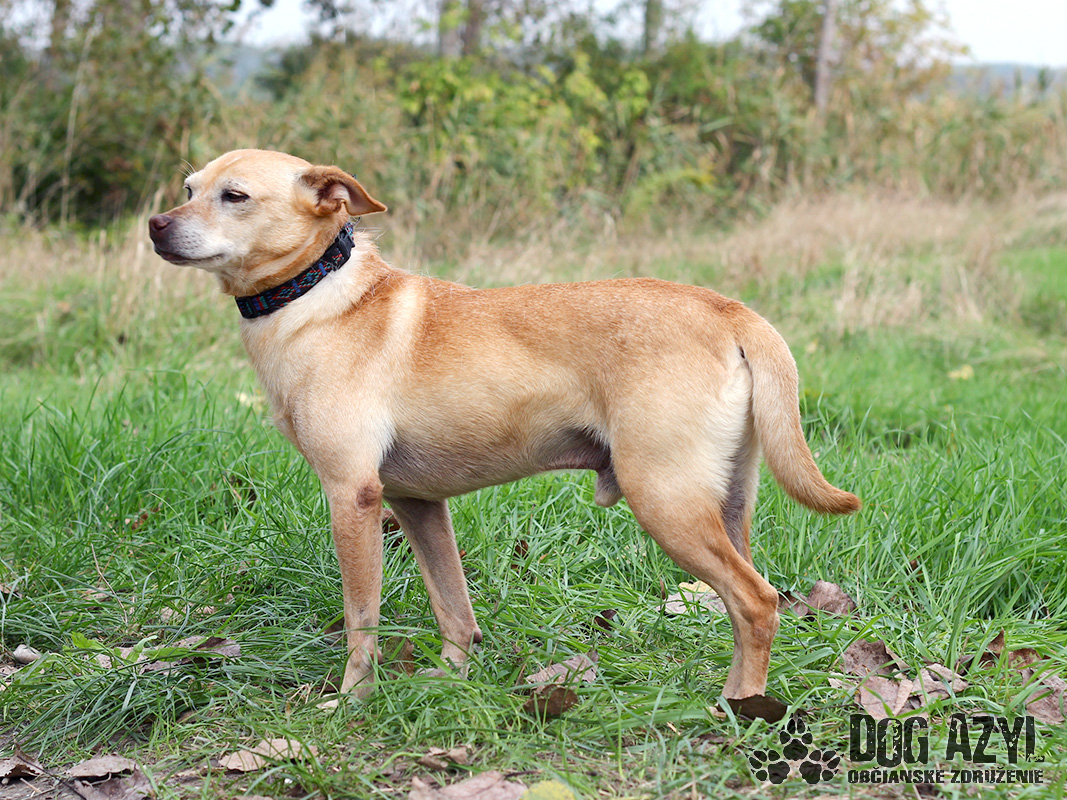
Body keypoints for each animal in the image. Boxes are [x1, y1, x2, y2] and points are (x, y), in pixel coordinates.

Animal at [148, 149, 859, 713]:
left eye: (234, 196)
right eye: (188, 187)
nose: (154, 225)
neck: (314, 295)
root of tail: (729, 310)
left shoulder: (353, 497)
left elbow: (361, 621)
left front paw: (351, 701)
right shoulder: (417, 504)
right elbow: (454, 609)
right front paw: (447, 682)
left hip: (666, 498)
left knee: (757, 601)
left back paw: (739, 710)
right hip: (726, 503)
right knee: (747, 605)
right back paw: (743, 700)